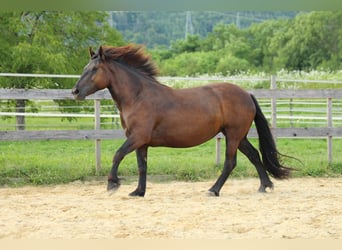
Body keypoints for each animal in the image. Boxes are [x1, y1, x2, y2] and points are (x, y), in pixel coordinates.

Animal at [72, 45, 292, 197]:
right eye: (85, 67)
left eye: (95, 69)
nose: (75, 91)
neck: (138, 96)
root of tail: (246, 94)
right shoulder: (141, 142)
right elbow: (142, 166)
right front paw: (138, 192)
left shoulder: (137, 137)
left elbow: (117, 155)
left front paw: (112, 184)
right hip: (239, 136)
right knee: (254, 155)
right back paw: (265, 186)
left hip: (233, 135)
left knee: (230, 162)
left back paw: (213, 190)